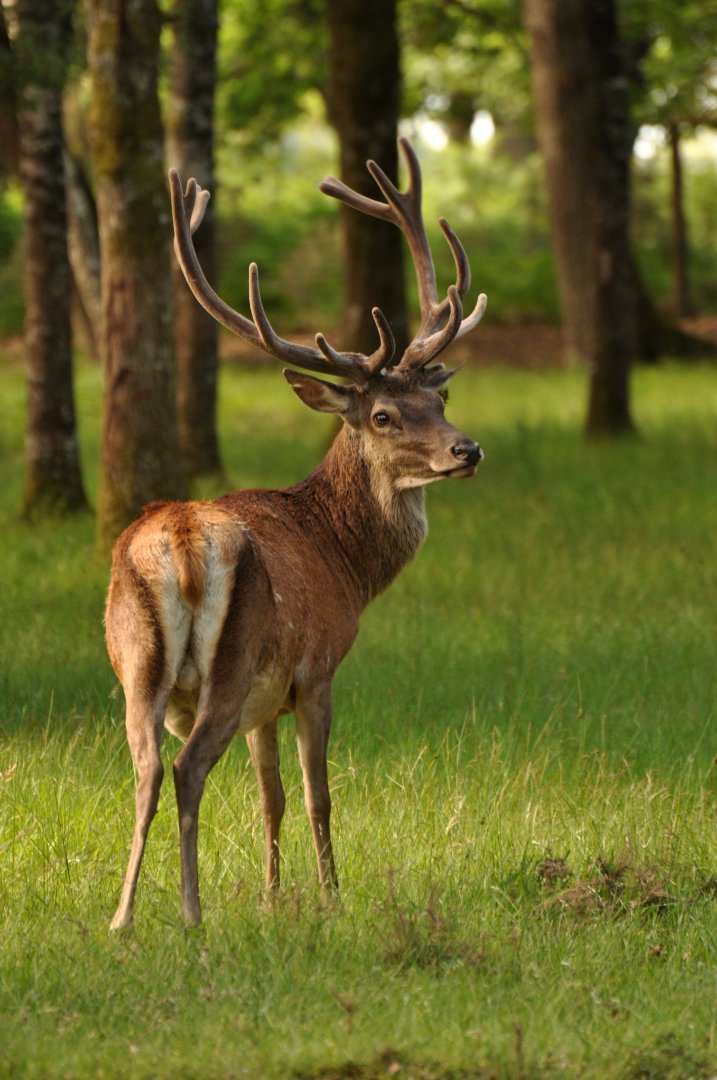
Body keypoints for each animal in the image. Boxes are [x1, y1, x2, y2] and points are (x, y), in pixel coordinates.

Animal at [106, 137, 486, 930]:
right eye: (382, 416)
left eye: (439, 399)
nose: (467, 450)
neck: (345, 561)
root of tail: (179, 541)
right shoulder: (315, 669)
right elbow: (317, 796)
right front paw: (330, 898)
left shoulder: (264, 705)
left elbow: (270, 799)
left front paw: (272, 894)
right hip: (231, 657)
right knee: (187, 769)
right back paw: (190, 913)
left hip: (137, 663)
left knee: (147, 771)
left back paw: (123, 919)